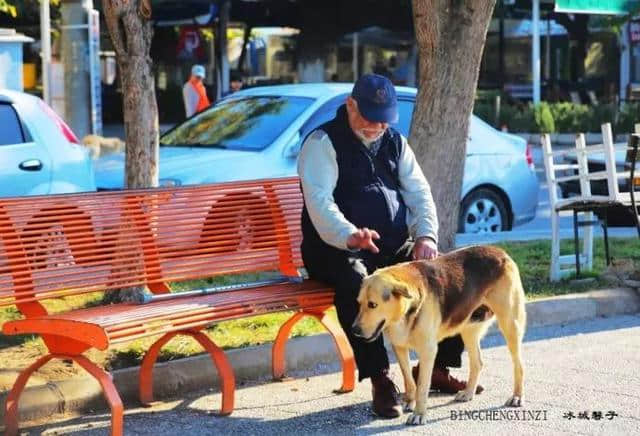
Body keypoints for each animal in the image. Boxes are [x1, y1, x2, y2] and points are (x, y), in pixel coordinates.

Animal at [350, 245, 524, 426]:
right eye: (359, 303)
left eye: (373, 305)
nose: (354, 331)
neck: (406, 311)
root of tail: (499, 251)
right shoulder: (399, 347)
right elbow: (408, 380)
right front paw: (409, 401)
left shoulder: (428, 351)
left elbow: (421, 386)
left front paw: (419, 413)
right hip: (468, 329)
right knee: (477, 363)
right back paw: (468, 392)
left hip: (509, 324)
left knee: (518, 365)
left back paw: (516, 396)